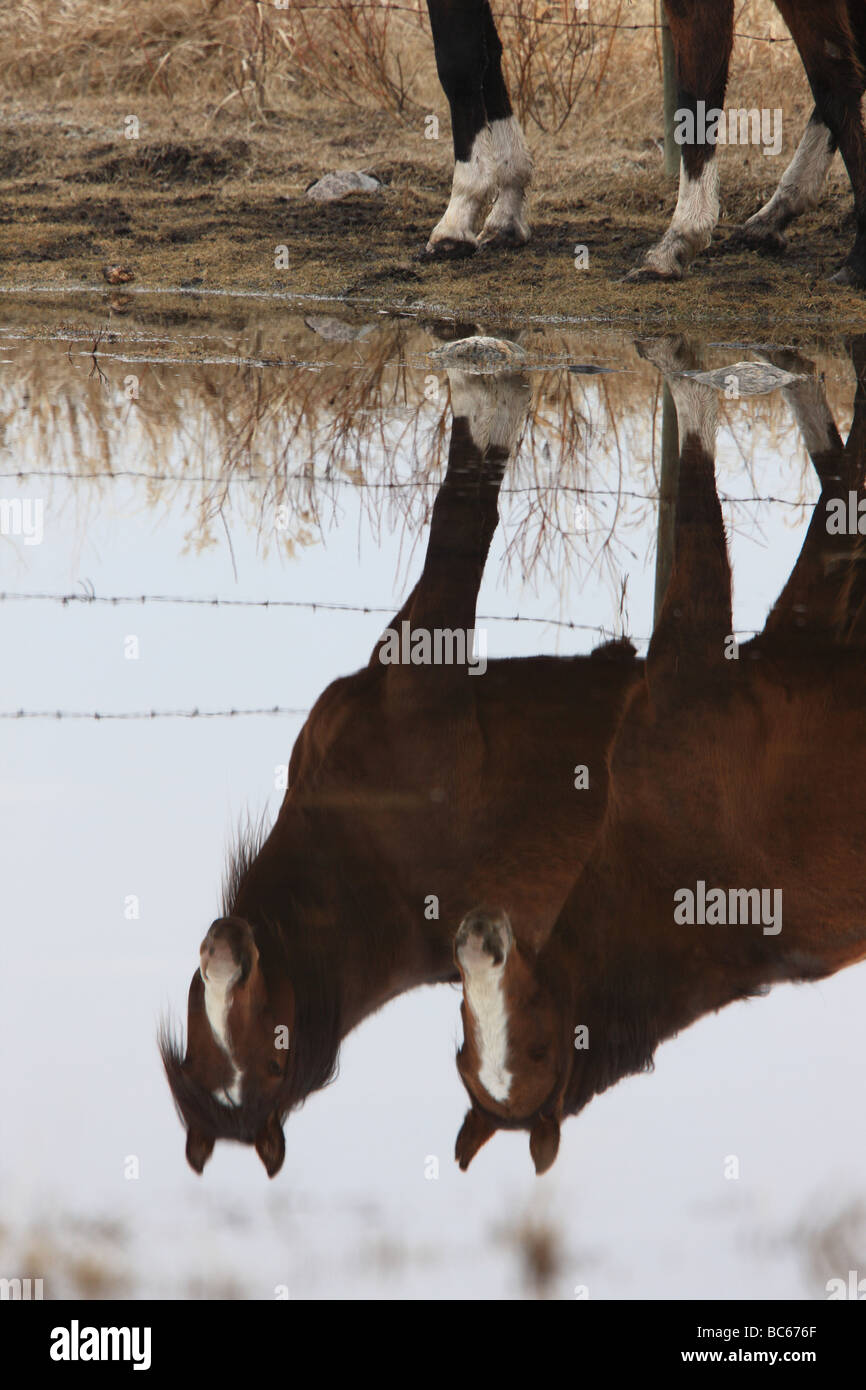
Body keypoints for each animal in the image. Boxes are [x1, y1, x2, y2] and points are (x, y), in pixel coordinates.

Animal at [160, 359, 642, 1176]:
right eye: (201, 1053)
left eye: (274, 1059)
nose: (225, 951)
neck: (369, 868)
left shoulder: (427, 666)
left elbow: (460, 525)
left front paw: (487, 382)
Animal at [425, 0, 866, 285]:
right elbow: (490, 57)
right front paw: (507, 208)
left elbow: (459, 64)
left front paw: (458, 217)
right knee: (837, 80)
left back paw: (678, 241)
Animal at [453, 333, 866, 1173]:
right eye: (466, 1042)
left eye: (539, 1047)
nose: (477, 942)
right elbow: (836, 484)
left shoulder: (696, 653)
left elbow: (703, 433)